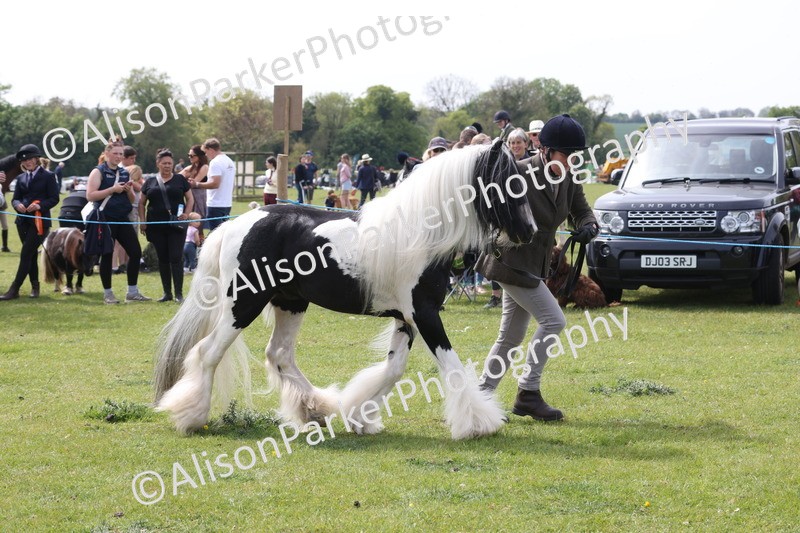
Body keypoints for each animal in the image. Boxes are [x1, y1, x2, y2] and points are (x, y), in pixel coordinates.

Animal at [153, 140, 537, 440]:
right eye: (508, 182)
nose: (531, 232)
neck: (421, 235)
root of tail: (232, 226)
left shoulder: (406, 319)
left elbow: (393, 370)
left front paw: (359, 417)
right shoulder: (424, 314)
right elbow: (451, 366)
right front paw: (479, 423)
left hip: (290, 303)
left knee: (279, 355)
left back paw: (316, 410)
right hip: (243, 305)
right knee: (209, 353)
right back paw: (192, 417)